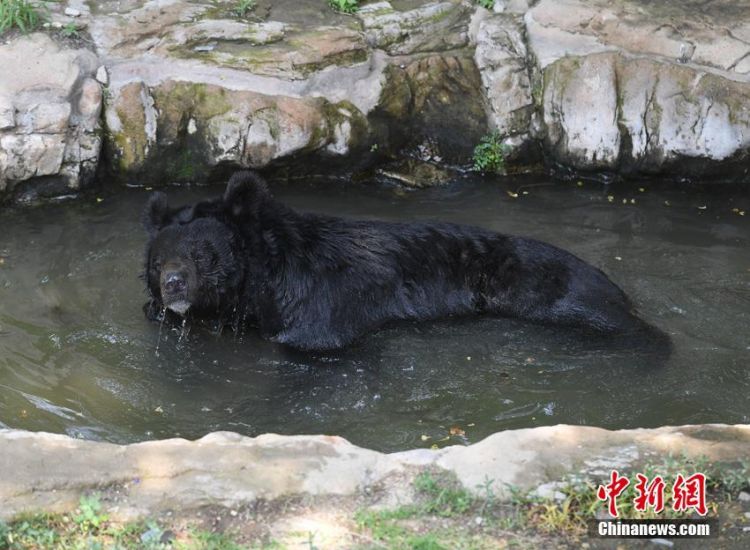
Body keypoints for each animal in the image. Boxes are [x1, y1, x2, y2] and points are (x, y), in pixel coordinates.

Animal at [142, 172, 664, 352]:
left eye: (202, 254)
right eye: (158, 261)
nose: (173, 284)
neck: (260, 286)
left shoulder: (321, 298)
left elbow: (316, 339)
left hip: (553, 290)